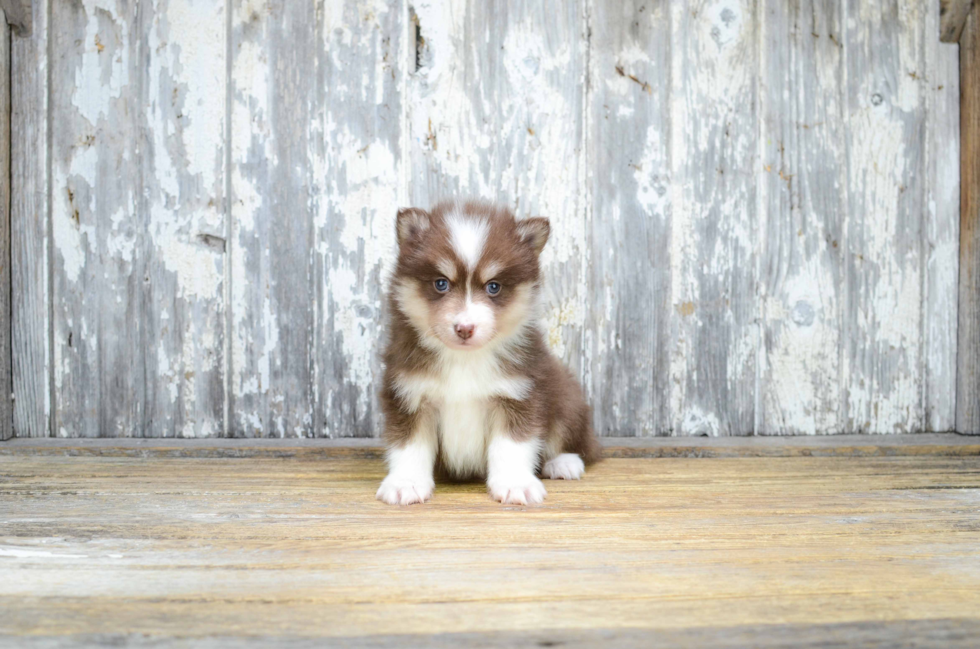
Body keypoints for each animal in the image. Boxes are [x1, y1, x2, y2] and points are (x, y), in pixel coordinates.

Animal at [378, 199, 600, 506]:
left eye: (493, 286)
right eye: (441, 283)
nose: (464, 328)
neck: (464, 360)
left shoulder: (518, 394)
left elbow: (512, 445)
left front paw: (515, 484)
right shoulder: (408, 394)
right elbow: (408, 446)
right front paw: (405, 483)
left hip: (566, 396)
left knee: (577, 442)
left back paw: (563, 463)